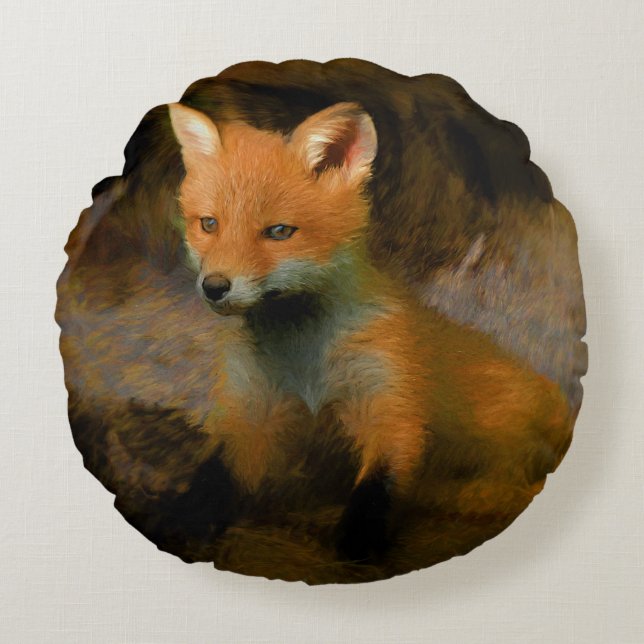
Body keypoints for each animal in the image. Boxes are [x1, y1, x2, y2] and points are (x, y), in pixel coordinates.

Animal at [167, 100, 573, 561]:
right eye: (209, 224)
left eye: (279, 232)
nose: (214, 287)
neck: (305, 361)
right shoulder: (252, 409)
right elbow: (216, 474)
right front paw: (185, 518)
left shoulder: (390, 399)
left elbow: (381, 482)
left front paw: (358, 541)